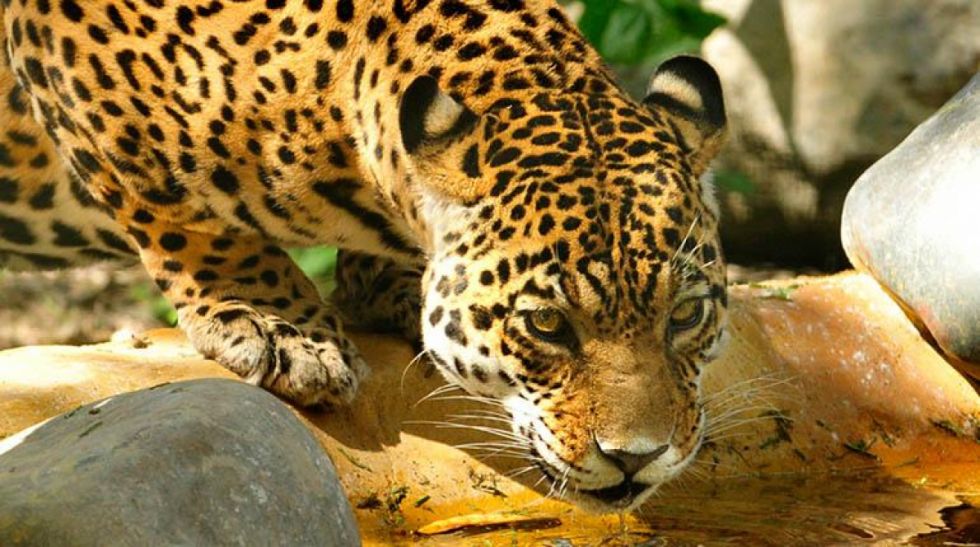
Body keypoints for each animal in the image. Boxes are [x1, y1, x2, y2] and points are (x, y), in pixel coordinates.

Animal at [0, 0, 729, 510]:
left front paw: (395, 288)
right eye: (548, 325)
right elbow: (181, 210)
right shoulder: (70, 59)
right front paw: (279, 326)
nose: (637, 457)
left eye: (686, 315)